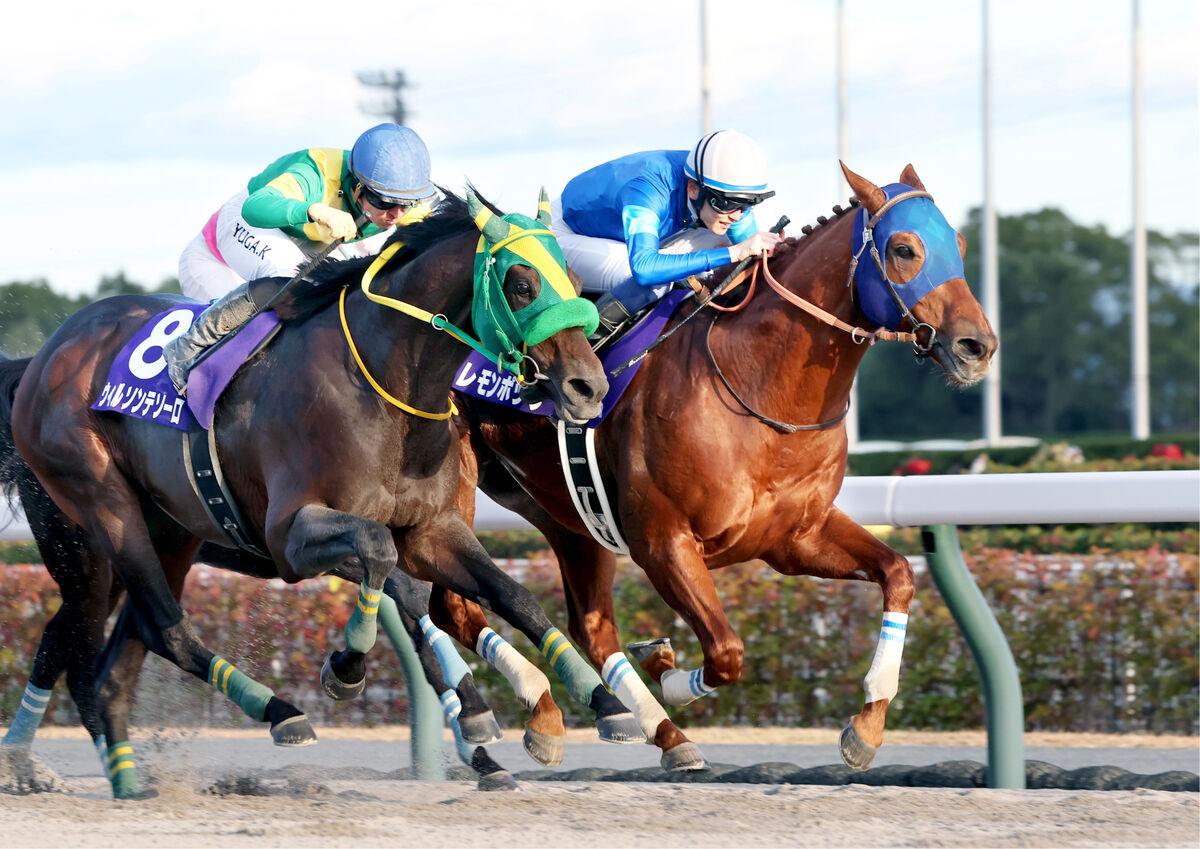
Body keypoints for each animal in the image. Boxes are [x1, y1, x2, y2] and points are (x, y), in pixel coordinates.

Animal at [0, 189, 648, 801]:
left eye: (574, 279)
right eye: (520, 282)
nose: (589, 387)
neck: (385, 386)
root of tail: (43, 356)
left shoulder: (432, 530)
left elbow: (512, 597)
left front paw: (598, 705)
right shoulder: (292, 537)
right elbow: (387, 564)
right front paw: (353, 670)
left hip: (170, 536)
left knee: (113, 660)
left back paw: (128, 782)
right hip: (99, 518)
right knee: (151, 629)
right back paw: (277, 713)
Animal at [436, 164, 998, 767]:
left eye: (960, 244)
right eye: (904, 248)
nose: (978, 346)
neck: (760, 389)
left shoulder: (796, 539)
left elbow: (898, 574)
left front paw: (866, 727)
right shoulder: (663, 542)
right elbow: (727, 652)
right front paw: (666, 667)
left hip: (562, 508)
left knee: (589, 624)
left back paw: (650, 728)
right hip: (452, 493)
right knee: (455, 607)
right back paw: (508, 714)